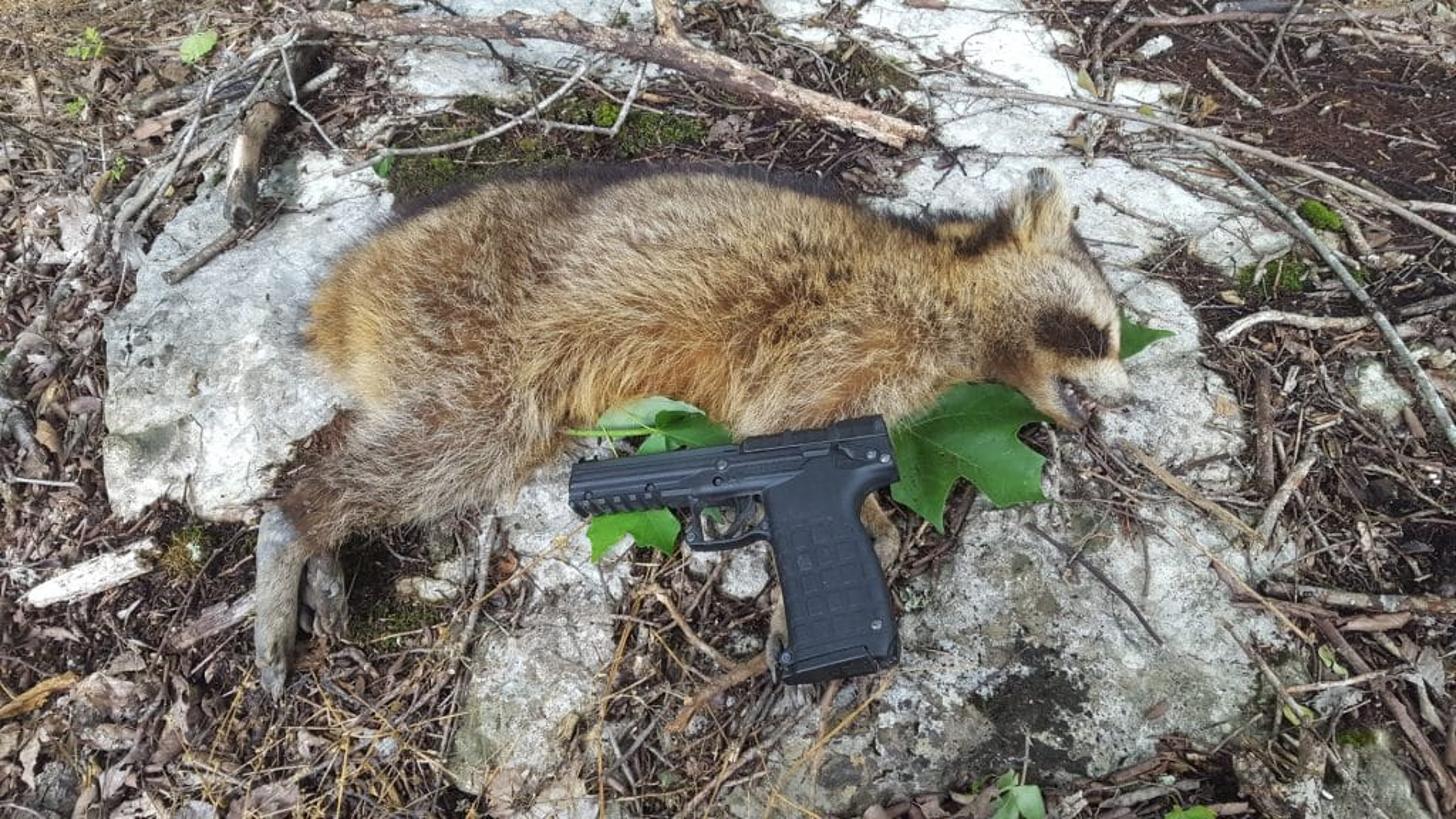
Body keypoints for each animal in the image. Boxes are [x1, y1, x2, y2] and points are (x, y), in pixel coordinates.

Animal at [253, 164, 1135, 695]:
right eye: (1098, 334)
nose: (1125, 400)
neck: (950, 290)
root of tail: (349, 285)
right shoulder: (846, 337)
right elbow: (786, 427)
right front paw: (832, 581)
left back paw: (320, 538)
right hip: (465, 330)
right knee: (445, 447)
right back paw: (296, 522)